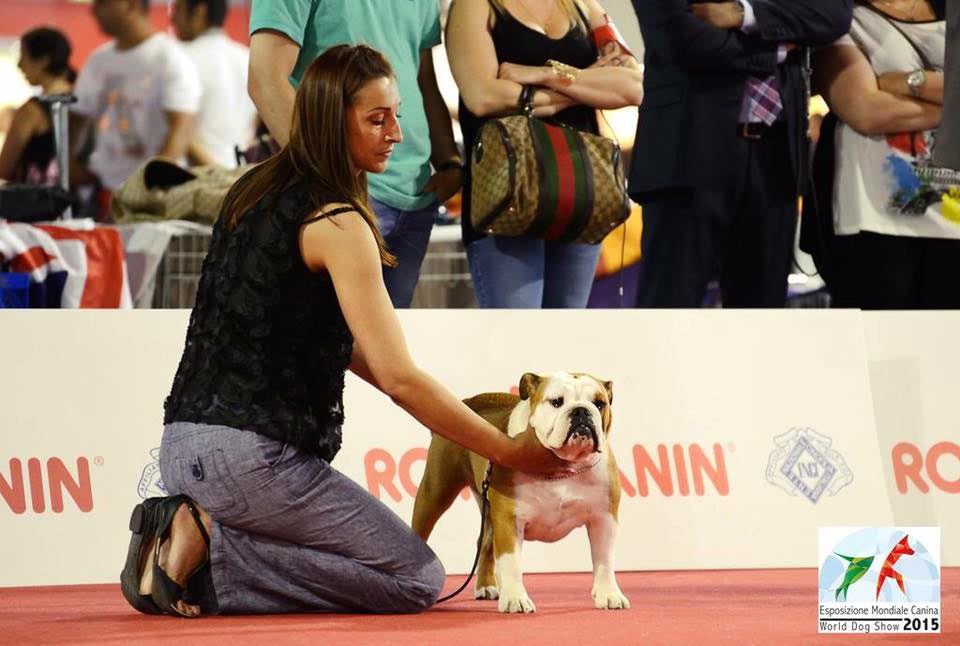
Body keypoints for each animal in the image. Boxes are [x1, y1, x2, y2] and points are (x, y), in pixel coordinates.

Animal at [412, 371, 629, 613]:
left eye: (599, 403)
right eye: (557, 402)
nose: (581, 411)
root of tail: (467, 402)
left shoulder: (604, 518)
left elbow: (604, 561)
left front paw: (609, 594)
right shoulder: (509, 519)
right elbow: (511, 563)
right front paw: (516, 598)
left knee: (485, 542)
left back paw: (486, 586)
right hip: (436, 491)